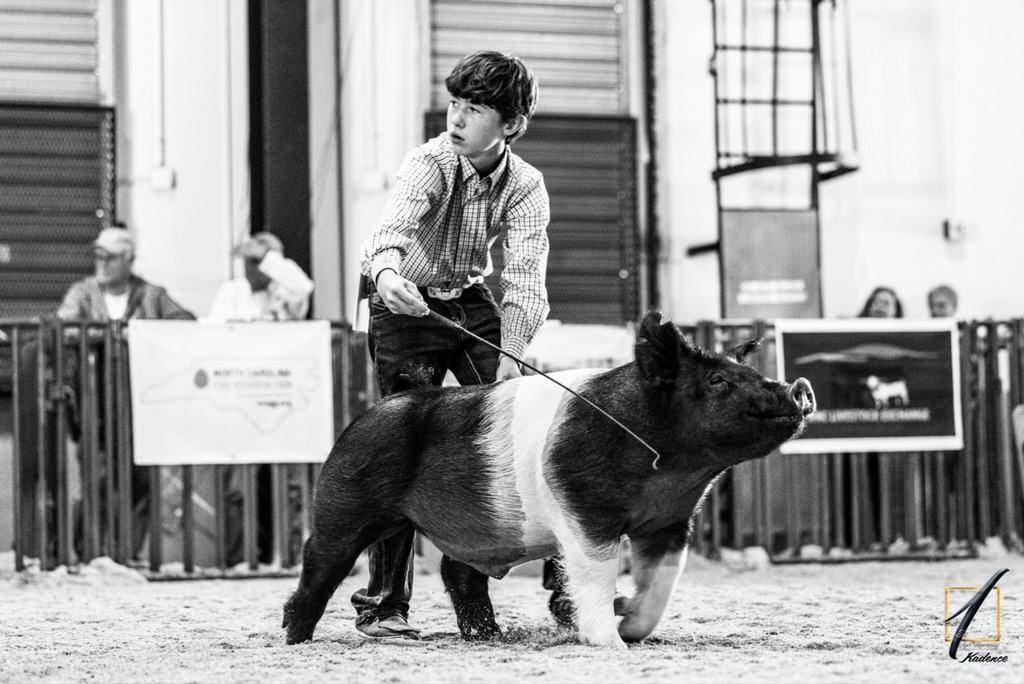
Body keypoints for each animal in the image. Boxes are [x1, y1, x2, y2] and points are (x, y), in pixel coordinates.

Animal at [282, 311, 815, 648]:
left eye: (747, 371)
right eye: (718, 382)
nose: (798, 387)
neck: (668, 466)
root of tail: (365, 416)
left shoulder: (670, 521)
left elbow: (661, 584)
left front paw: (629, 618)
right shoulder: (584, 507)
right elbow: (594, 574)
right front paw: (610, 640)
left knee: (459, 573)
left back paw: (488, 637)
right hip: (346, 507)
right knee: (320, 564)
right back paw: (295, 637)